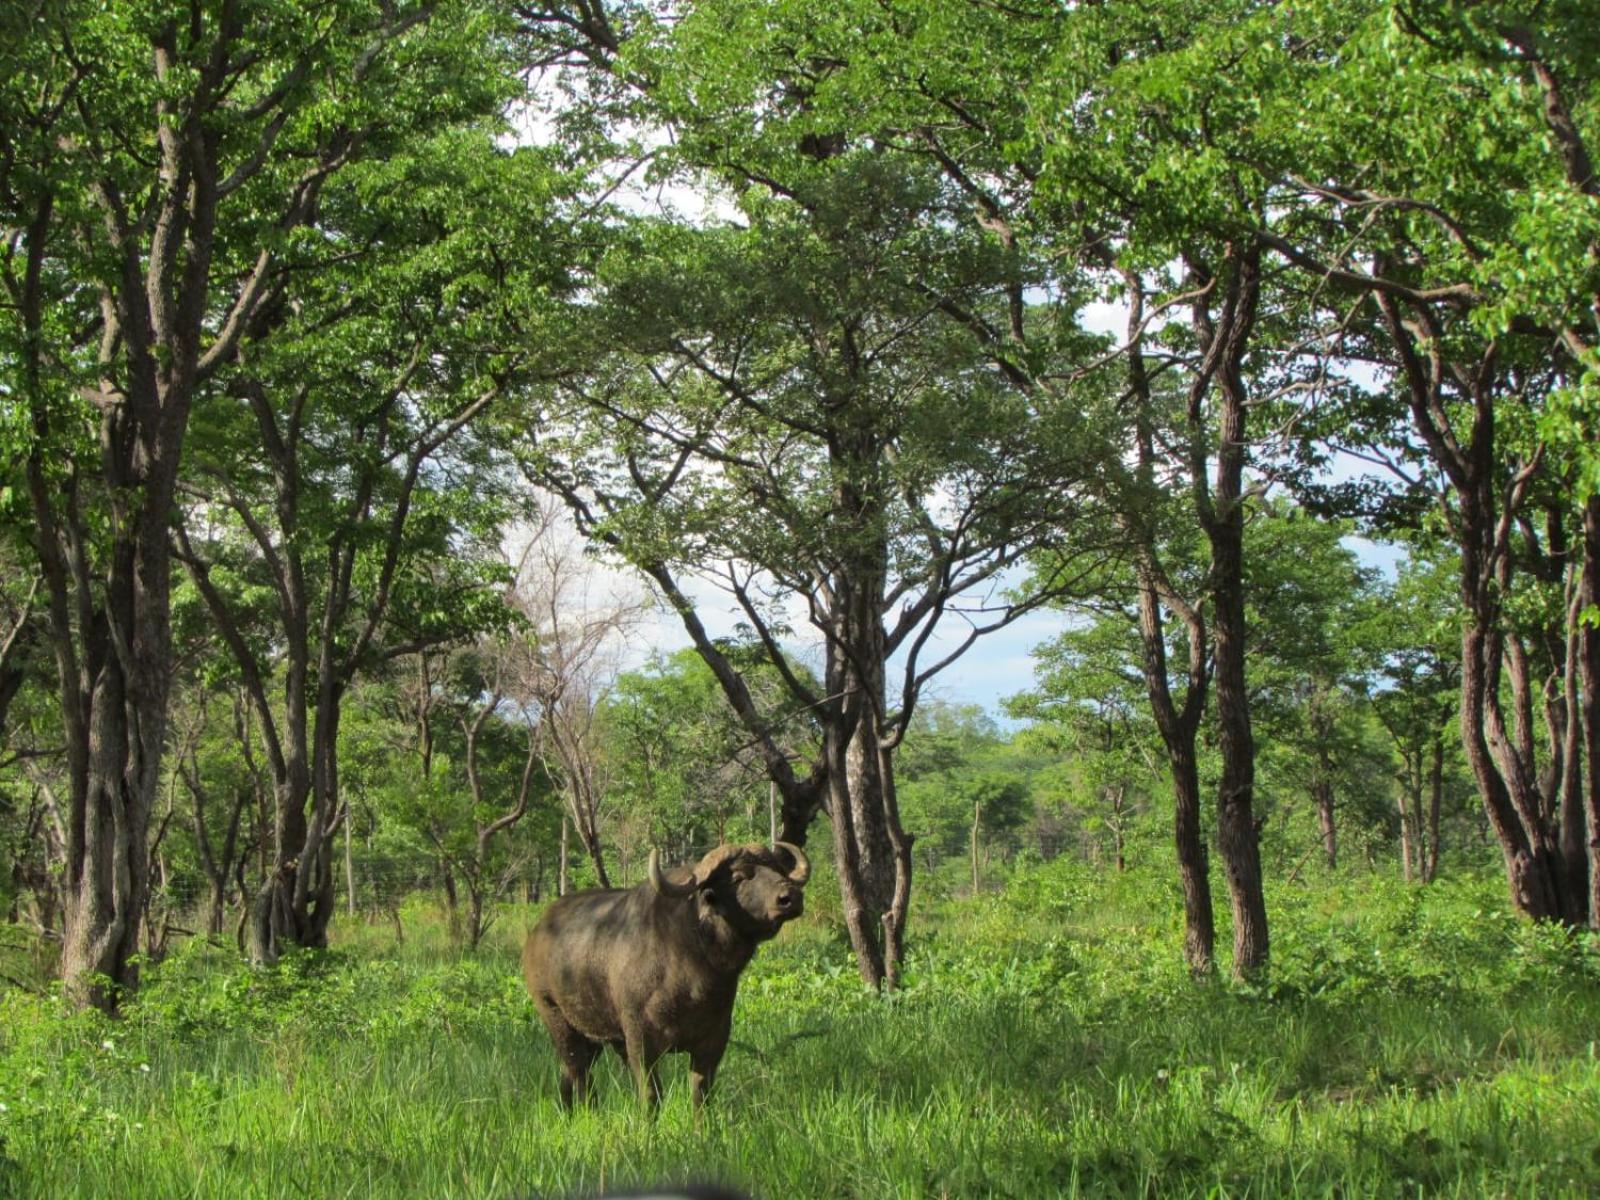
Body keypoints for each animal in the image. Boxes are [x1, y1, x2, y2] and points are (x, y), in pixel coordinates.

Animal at [521, 838, 806, 1113]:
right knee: (580, 1075)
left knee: (568, 1076)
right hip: (557, 1020)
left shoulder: (713, 1041)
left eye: (776, 869)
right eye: (738, 877)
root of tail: (536, 935)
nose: (791, 896)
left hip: (594, 1037)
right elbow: (651, 1096)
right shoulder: (641, 1043)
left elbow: (701, 1093)